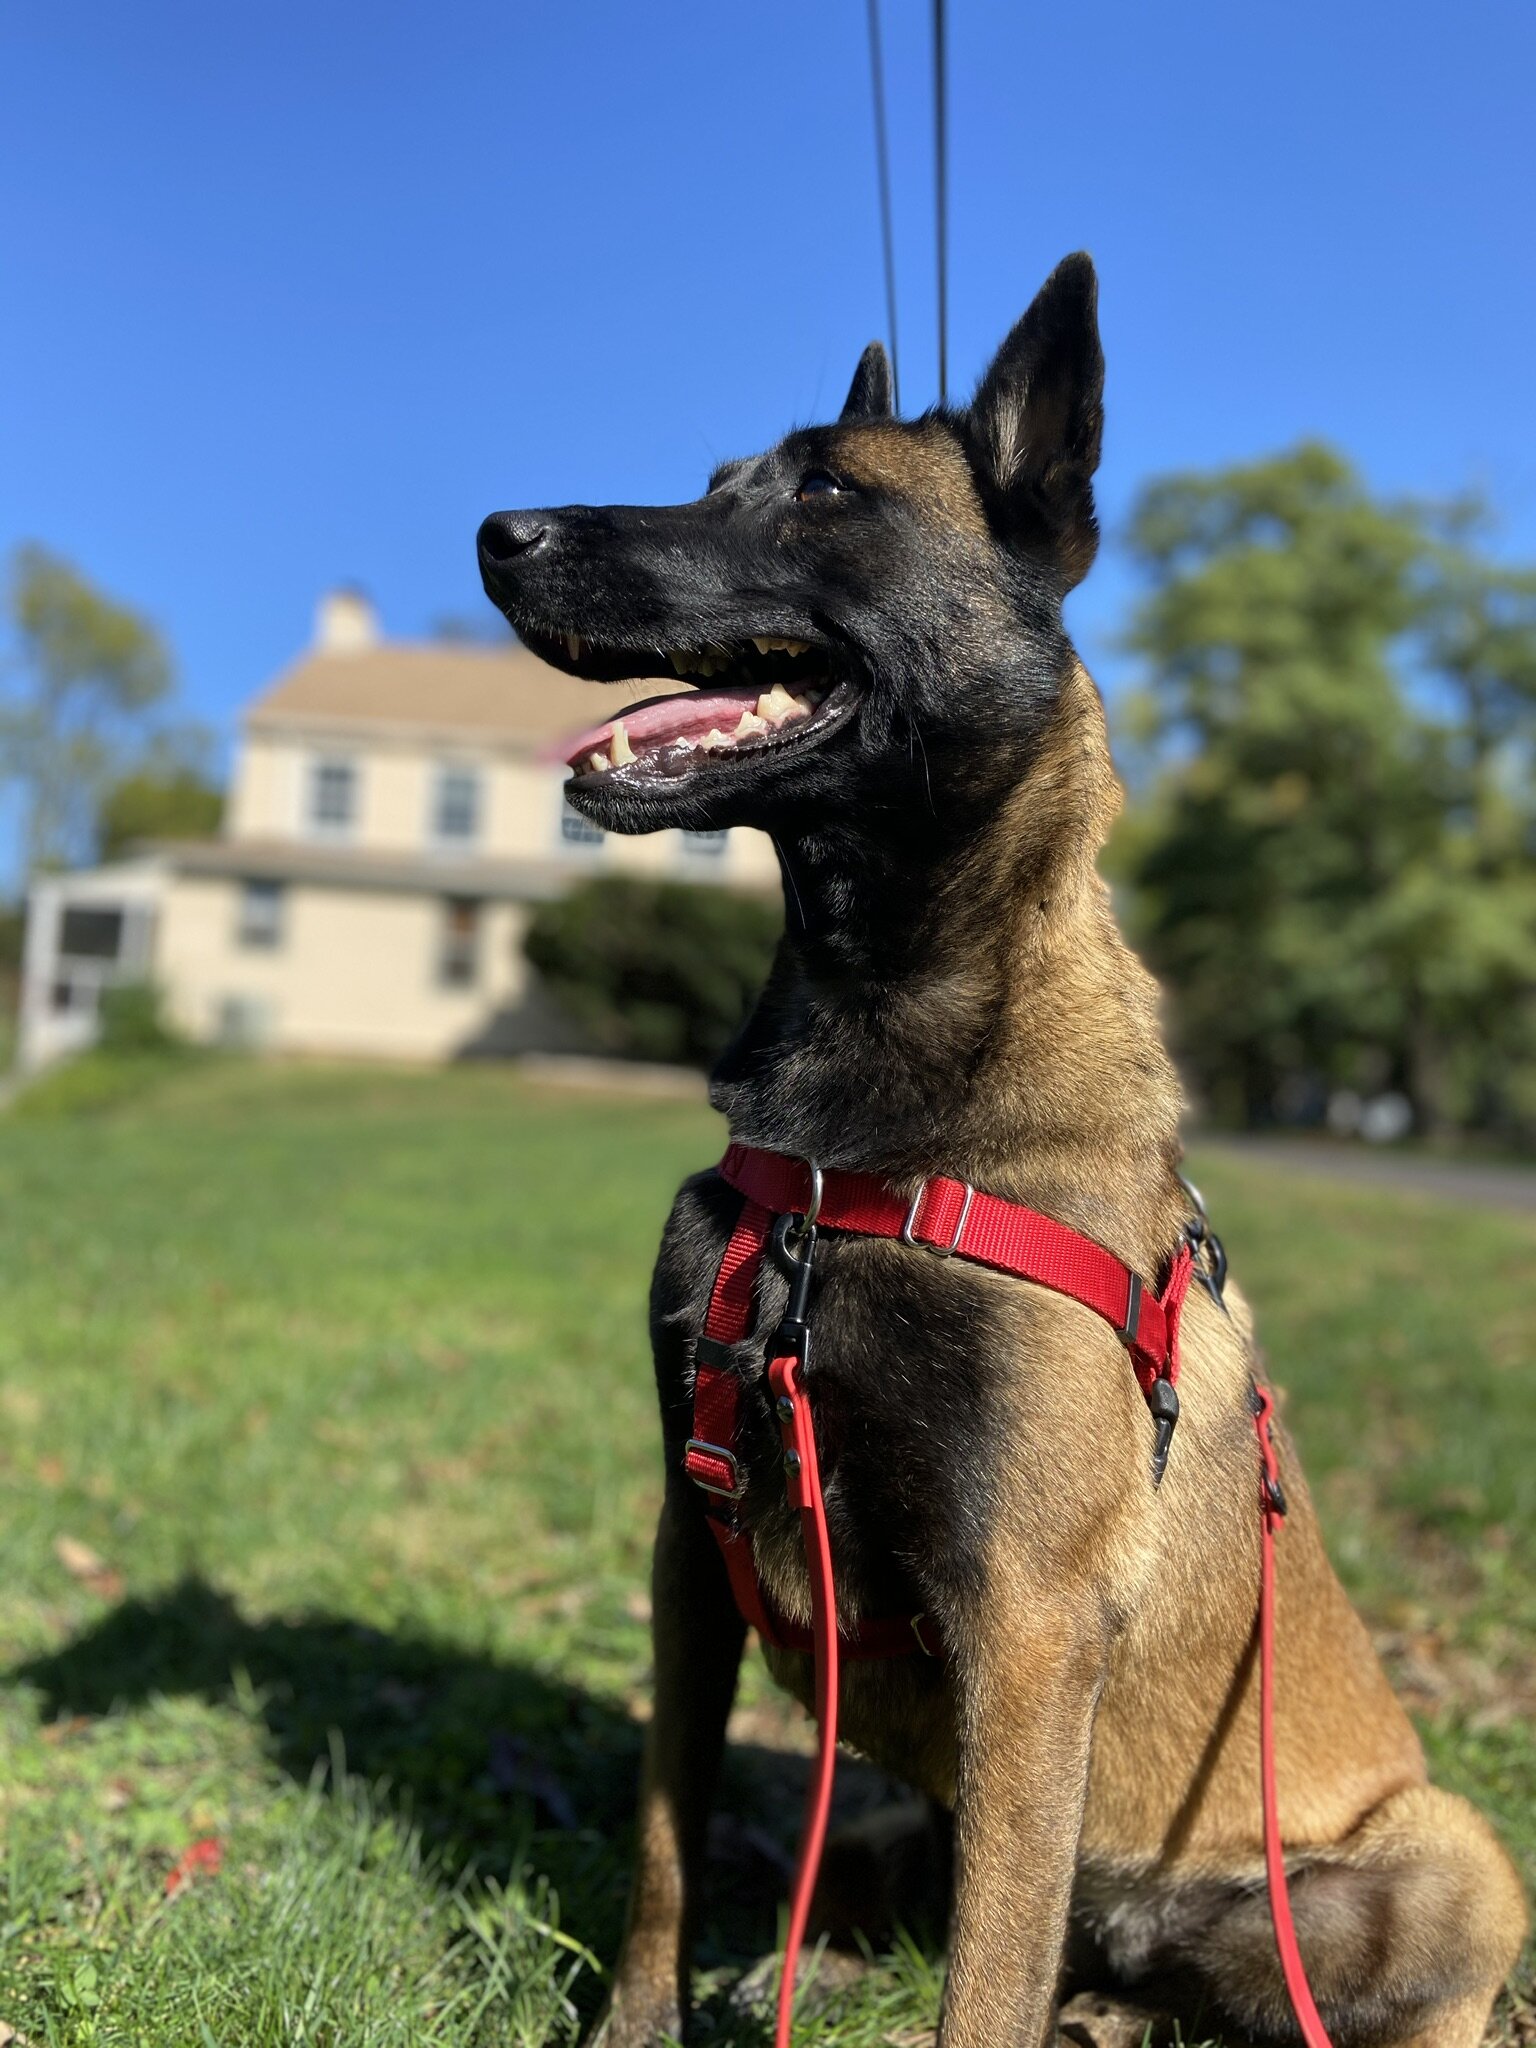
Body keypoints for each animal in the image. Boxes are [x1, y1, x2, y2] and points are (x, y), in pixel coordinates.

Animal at [479, 256, 1531, 2048]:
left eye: (826, 492)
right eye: (713, 482)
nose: (498, 530)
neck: (867, 1107)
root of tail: (1149, 1928)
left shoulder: (1028, 1631)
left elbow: (983, 1980)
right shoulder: (689, 1557)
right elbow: (667, 1850)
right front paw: (639, 2020)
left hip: (1451, 1853)